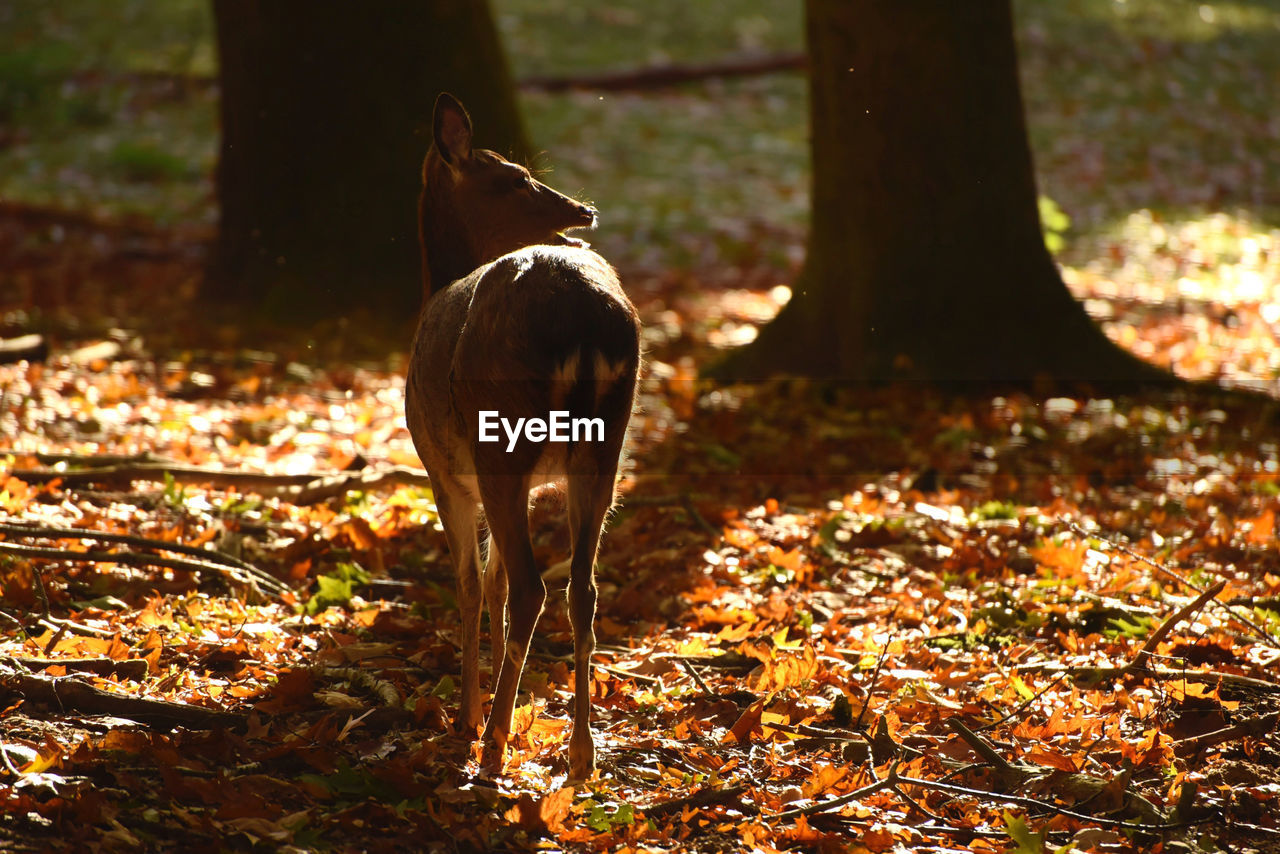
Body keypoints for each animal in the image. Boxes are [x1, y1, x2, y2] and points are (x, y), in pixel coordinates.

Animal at [407, 93, 640, 783]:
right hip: (601, 447)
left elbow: (469, 581)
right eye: (514, 177)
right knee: (582, 588)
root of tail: (586, 318)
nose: (585, 210)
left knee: (534, 588)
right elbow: (495, 578)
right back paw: (583, 753)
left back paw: (492, 748)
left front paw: (463, 716)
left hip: (501, 440)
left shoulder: (442, 469)